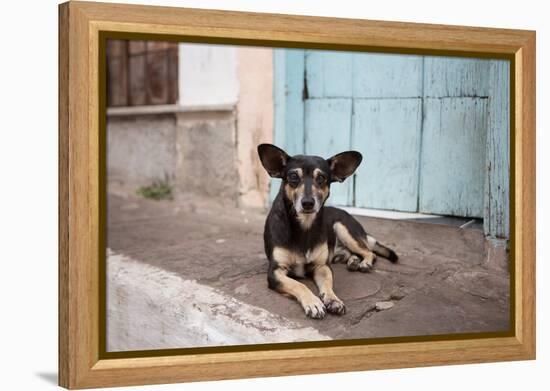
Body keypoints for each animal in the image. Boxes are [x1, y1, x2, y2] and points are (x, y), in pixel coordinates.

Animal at [258, 145, 402, 320]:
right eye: (293, 177)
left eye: (321, 178)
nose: (308, 203)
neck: (304, 226)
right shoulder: (275, 272)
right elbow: (298, 284)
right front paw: (313, 303)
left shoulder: (322, 266)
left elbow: (328, 283)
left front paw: (333, 299)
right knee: (352, 253)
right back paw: (353, 261)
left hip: (343, 228)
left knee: (369, 252)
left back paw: (364, 263)